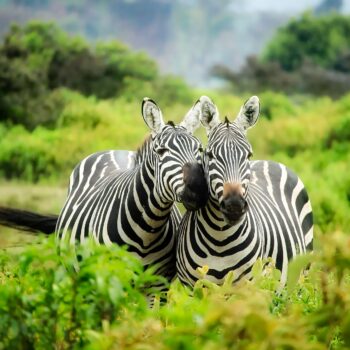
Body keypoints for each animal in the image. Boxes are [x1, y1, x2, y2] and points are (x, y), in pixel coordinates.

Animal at [176, 95, 314, 288]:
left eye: (248, 155)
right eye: (210, 155)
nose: (234, 206)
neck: (219, 239)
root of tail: (269, 161)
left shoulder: (248, 286)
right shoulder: (190, 287)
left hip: (302, 275)